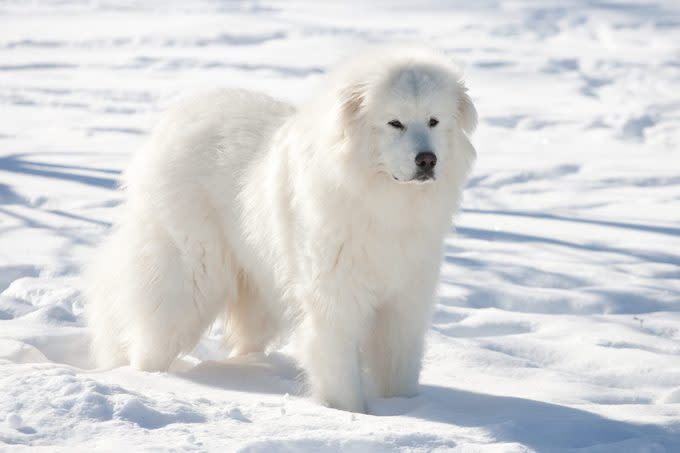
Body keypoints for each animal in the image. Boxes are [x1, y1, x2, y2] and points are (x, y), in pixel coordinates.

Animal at [85, 44, 478, 412]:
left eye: (433, 121)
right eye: (395, 123)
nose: (427, 160)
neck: (382, 201)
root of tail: (174, 120)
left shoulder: (405, 301)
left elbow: (399, 364)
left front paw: (405, 408)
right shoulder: (334, 298)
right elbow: (338, 366)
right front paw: (349, 413)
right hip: (190, 276)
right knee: (154, 333)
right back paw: (146, 379)